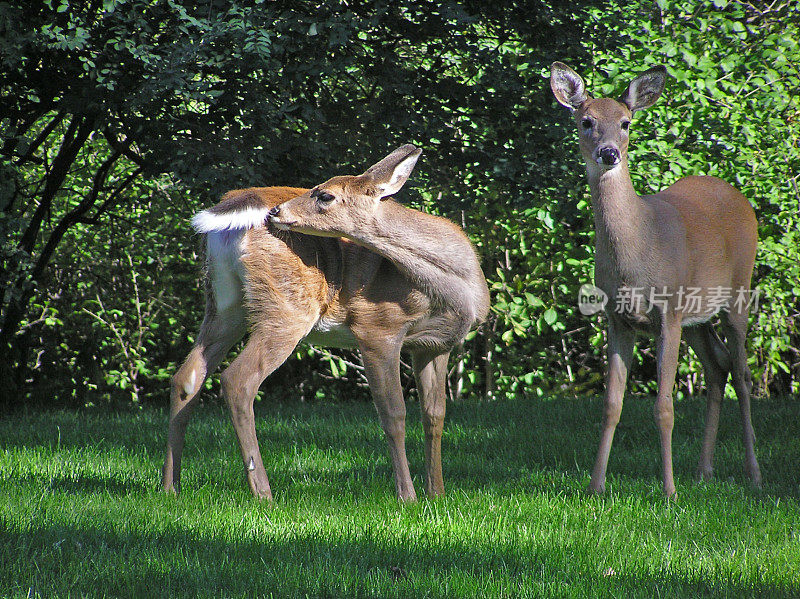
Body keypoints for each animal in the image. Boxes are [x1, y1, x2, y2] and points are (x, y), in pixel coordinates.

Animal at [160, 145, 490, 502]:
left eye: (326, 195)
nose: (276, 211)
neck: (453, 287)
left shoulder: (435, 344)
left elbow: (434, 415)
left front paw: (437, 493)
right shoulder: (377, 326)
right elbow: (394, 413)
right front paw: (408, 496)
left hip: (225, 304)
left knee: (186, 376)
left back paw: (170, 486)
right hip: (288, 307)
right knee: (238, 380)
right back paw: (264, 493)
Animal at [552, 63, 764, 500]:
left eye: (626, 123)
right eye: (586, 121)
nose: (609, 153)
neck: (638, 250)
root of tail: (739, 197)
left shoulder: (667, 312)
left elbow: (664, 406)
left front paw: (668, 491)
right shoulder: (619, 319)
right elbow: (611, 404)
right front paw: (595, 487)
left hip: (738, 292)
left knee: (743, 374)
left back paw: (753, 474)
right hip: (696, 315)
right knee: (717, 367)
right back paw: (703, 470)